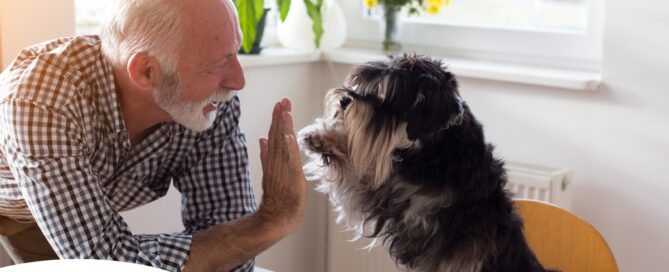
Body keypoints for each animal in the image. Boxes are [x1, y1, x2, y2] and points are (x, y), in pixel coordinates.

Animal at [300, 54, 544, 270]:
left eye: (388, 97)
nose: (344, 100)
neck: (435, 149)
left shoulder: (406, 210)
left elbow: (359, 174)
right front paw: (320, 137)